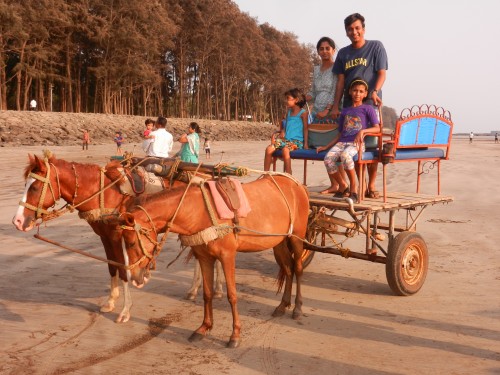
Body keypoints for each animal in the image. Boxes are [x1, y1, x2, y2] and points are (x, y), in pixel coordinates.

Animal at [114, 175, 308, 348]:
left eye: (131, 243)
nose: (135, 278)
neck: (200, 211)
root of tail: (297, 185)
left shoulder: (227, 256)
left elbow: (232, 295)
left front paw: (235, 335)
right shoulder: (204, 257)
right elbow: (207, 294)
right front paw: (204, 328)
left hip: (296, 238)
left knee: (298, 269)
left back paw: (297, 308)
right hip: (280, 241)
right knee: (288, 269)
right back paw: (282, 305)